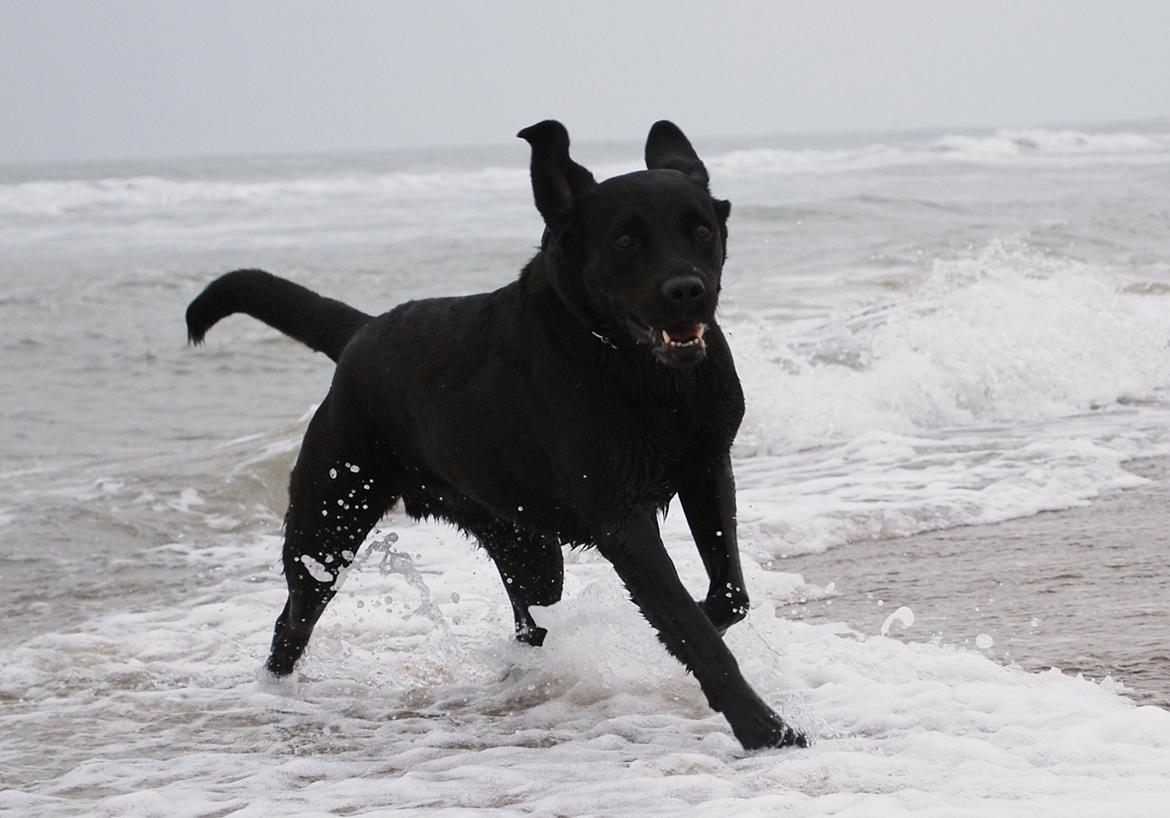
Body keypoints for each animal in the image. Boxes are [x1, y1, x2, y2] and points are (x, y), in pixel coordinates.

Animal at [187, 118, 809, 753]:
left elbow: (727, 598)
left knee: (529, 620)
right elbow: (692, 630)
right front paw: (765, 728)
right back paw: (275, 694)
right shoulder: (622, 518)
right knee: (293, 618)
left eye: (702, 230)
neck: (641, 374)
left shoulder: (707, 466)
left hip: (525, 545)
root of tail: (362, 332)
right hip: (329, 519)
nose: (686, 289)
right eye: (624, 241)